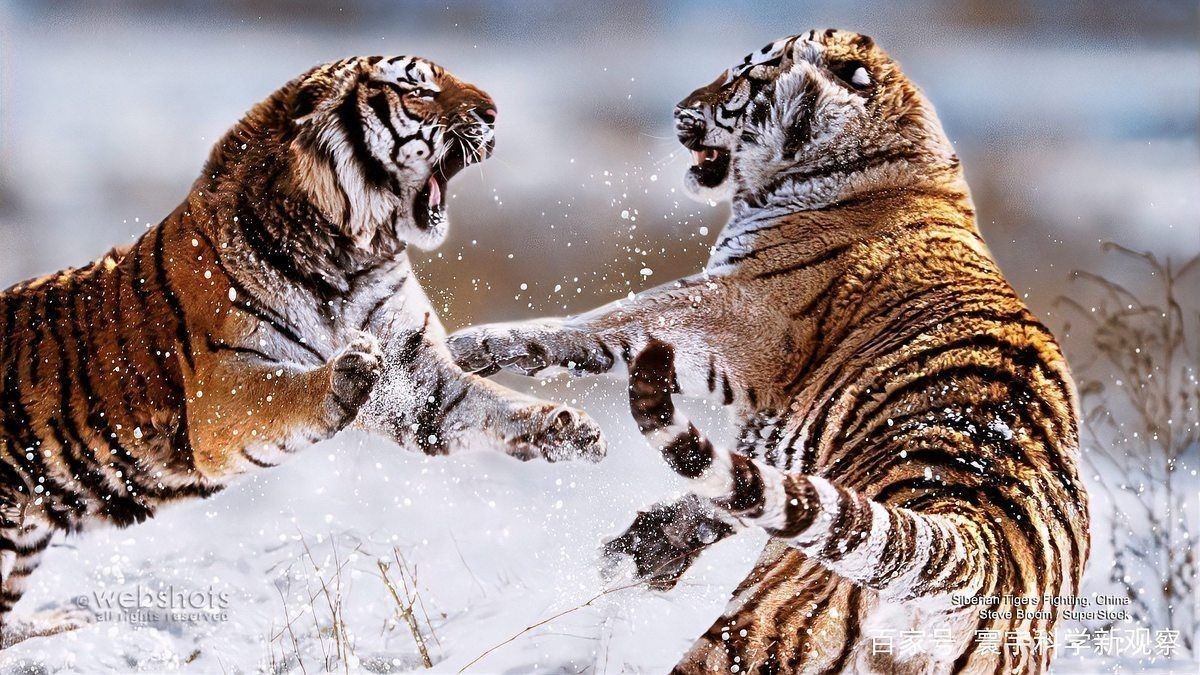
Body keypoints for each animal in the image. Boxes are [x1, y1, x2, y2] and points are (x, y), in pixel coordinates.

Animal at [0, 55, 604, 648]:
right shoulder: (217, 395)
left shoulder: (416, 377)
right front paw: (345, 373)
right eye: (419, 91)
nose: (494, 110)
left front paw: (569, 429)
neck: (350, 255)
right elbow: (281, 393)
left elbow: (487, 403)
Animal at [448, 30, 1089, 673]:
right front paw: (643, 550)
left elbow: (611, 321)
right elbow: (739, 486)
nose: (679, 108)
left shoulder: (735, 313)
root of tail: (976, 543)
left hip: (754, 636)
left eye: (741, 79)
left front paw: (473, 345)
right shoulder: (776, 429)